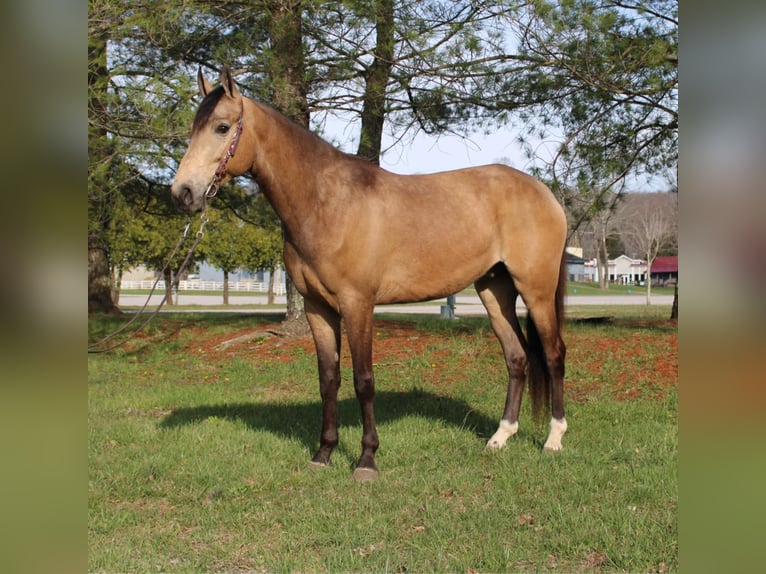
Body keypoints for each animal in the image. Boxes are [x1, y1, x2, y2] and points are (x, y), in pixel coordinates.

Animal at [172, 66, 568, 482]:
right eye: (193, 128)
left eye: (221, 127)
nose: (182, 192)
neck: (326, 202)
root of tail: (544, 192)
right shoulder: (317, 308)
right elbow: (328, 380)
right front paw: (324, 453)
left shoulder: (357, 304)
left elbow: (364, 381)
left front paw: (366, 459)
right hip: (495, 290)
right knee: (517, 357)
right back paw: (500, 438)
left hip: (537, 290)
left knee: (553, 354)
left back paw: (553, 439)